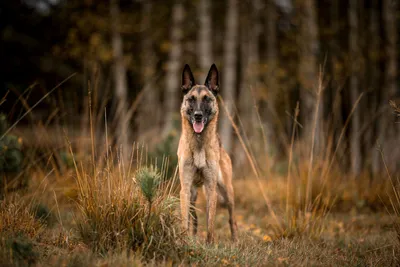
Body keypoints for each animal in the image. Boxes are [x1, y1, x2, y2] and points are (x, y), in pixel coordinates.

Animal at [177, 63, 236, 244]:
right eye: (191, 99)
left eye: (206, 99)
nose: (197, 115)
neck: (198, 145)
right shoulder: (185, 188)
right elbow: (185, 220)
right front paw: (184, 241)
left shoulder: (211, 189)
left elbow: (210, 224)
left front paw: (209, 245)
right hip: (193, 193)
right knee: (194, 217)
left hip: (227, 191)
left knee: (232, 219)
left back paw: (235, 241)